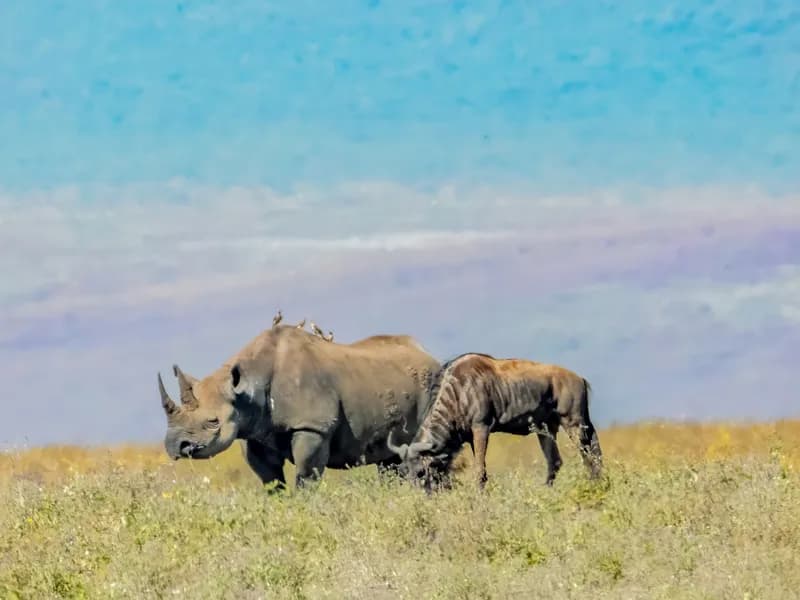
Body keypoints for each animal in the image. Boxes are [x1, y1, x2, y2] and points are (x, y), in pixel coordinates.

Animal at [158, 323, 440, 489]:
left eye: (213, 421)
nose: (175, 446)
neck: (246, 388)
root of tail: (430, 355)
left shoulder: (313, 427)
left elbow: (306, 476)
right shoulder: (254, 434)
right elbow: (271, 481)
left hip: (432, 386)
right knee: (390, 460)